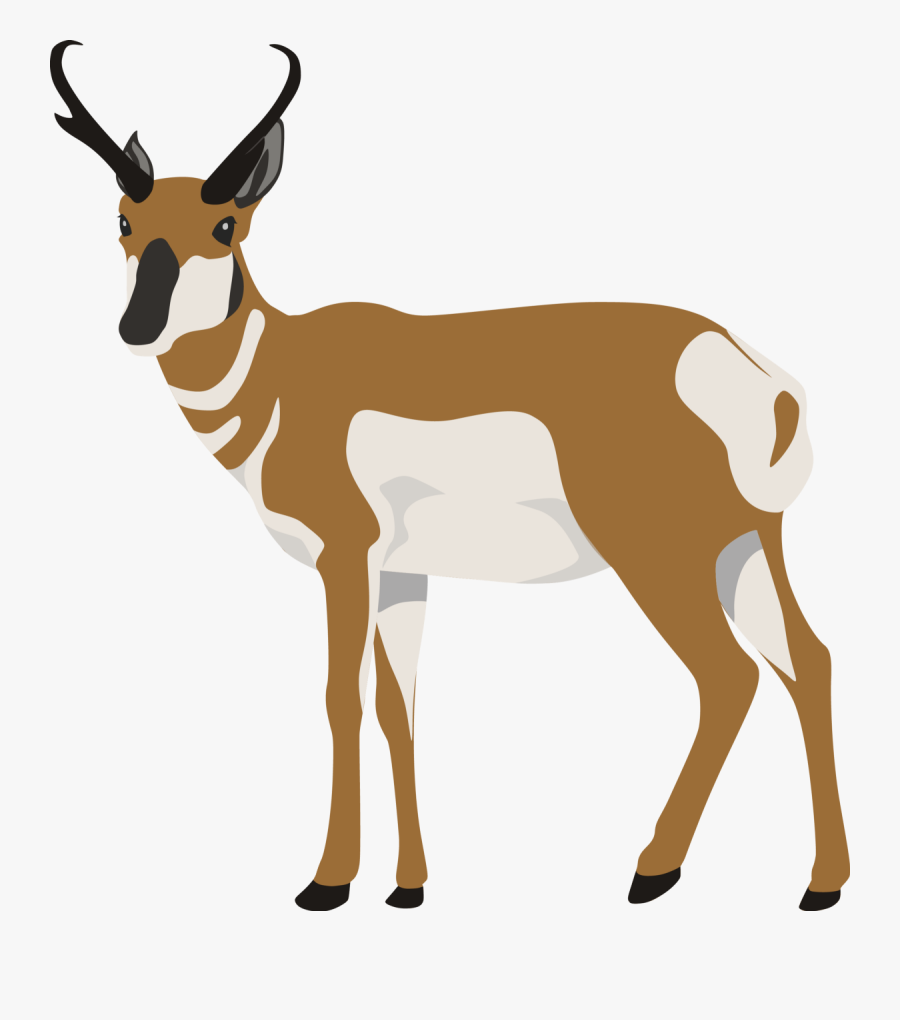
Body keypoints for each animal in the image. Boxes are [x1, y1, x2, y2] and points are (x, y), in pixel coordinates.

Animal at [50, 39, 849, 913]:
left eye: (225, 225)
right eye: (125, 221)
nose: (138, 326)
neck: (284, 374)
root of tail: (749, 372)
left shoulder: (344, 557)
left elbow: (340, 699)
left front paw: (327, 882)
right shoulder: (402, 573)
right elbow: (399, 708)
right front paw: (408, 887)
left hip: (661, 559)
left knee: (729, 676)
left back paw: (652, 870)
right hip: (743, 548)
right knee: (808, 661)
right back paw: (821, 884)